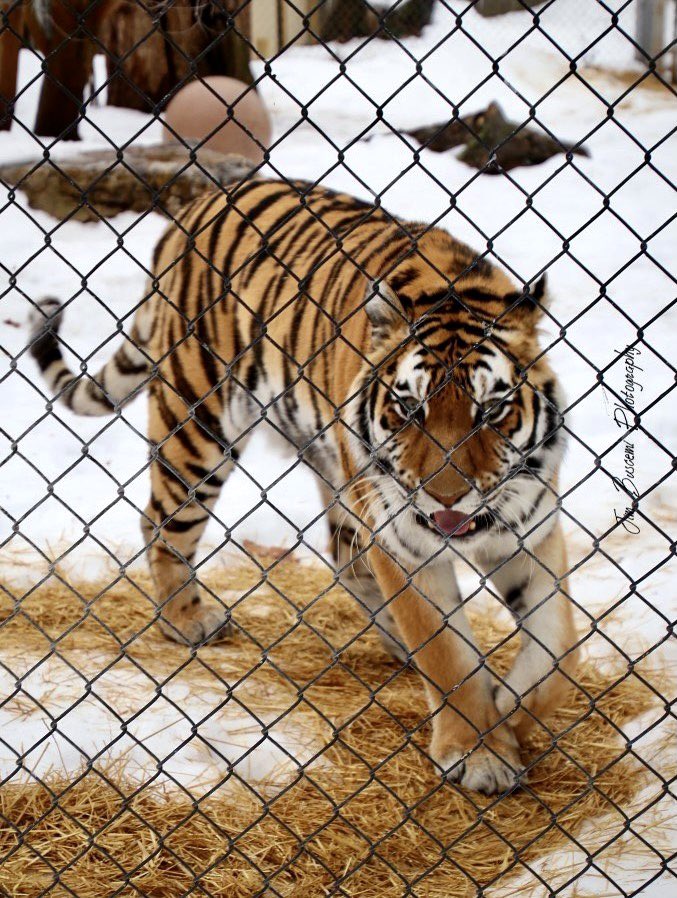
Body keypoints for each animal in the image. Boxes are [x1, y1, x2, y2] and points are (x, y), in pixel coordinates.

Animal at [29, 177, 579, 795]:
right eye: (410, 409)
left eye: (491, 411)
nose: (445, 497)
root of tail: (194, 206)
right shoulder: (405, 541)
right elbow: (445, 653)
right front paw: (479, 748)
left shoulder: (530, 530)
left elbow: (559, 651)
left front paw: (508, 708)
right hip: (198, 422)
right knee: (162, 520)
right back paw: (188, 621)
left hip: (331, 467)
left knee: (344, 555)